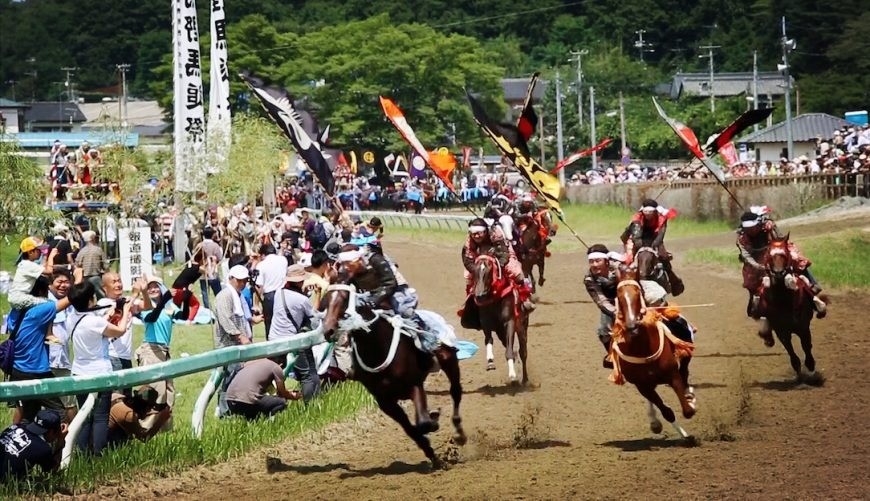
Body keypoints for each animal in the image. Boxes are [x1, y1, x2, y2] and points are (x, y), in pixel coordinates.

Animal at [321, 281, 466, 467]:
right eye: (325, 301)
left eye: (345, 299)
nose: (328, 330)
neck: (377, 349)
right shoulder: (385, 402)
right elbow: (411, 430)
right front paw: (434, 457)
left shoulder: (414, 385)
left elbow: (423, 423)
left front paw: (434, 420)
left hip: (448, 358)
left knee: (456, 392)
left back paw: (459, 434)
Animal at [467, 254, 529, 384]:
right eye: (474, 271)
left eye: (489, 271)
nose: (479, 296)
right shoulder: (486, 324)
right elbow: (489, 340)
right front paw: (490, 362)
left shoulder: (509, 322)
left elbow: (510, 350)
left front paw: (512, 374)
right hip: (501, 332)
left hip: (522, 327)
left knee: (523, 352)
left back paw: (525, 379)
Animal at [610, 268, 696, 440]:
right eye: (619, 297)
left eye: (638, 294)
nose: (632, 326)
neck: (643, 349)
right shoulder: (642, 386)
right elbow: (667, 412)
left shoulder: (672, 375)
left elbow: (688, 410)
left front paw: (690, 402)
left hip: (684, 358)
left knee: (685, 373)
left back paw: (689, 394)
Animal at [760, 235, 819, 381]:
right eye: (769, 254)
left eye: (786, 254)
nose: (779, 273)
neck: (784, 301)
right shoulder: (781, 331)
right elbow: (790, 350)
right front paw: (798, 369)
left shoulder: (803, 327)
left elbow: (806, 346)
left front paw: (811, 367)